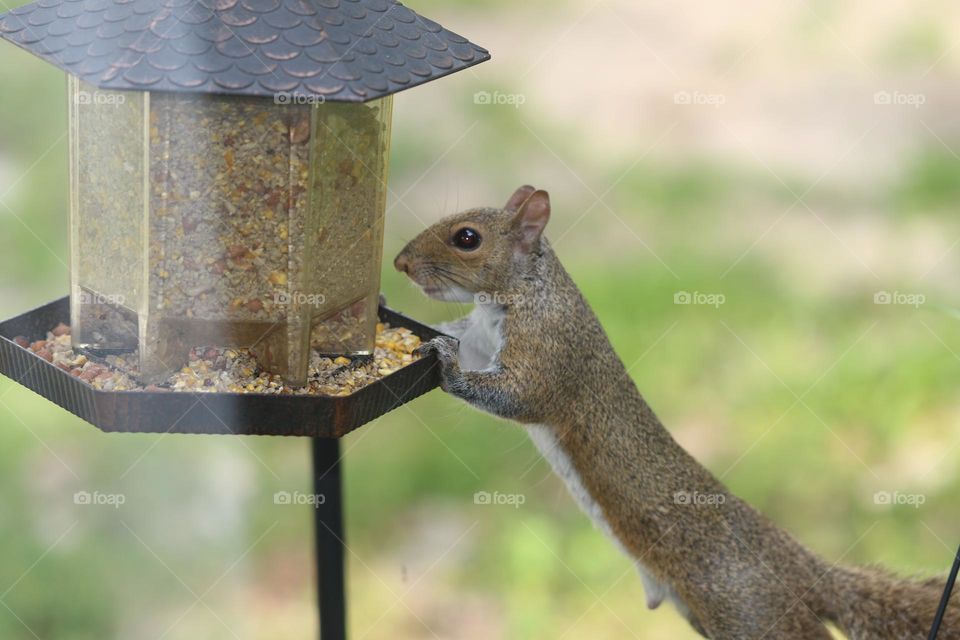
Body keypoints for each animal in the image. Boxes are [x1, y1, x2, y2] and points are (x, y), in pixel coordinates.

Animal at [393, 185, 958, 639]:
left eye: (467, 238)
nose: (400, 264)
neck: (516, 294)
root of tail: (800, 570)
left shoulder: (550, 350)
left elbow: (521, 396)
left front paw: (444, 365)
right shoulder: (479, 337)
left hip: (753, 613)